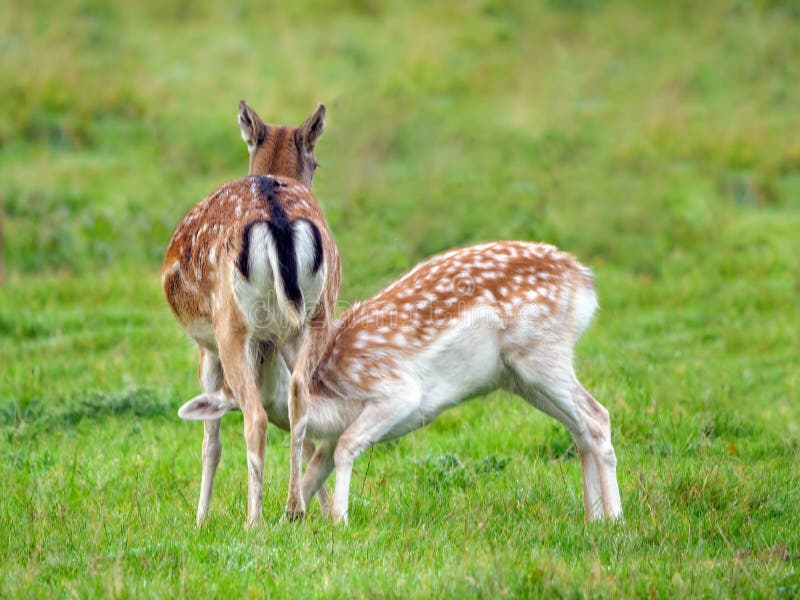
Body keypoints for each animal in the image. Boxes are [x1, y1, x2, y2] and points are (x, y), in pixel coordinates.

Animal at [164, 102, 340, 524]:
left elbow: (210, 440)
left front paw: (199, 520)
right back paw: (294, 508)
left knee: (255, 418)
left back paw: (254, 520)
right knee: (299, 400)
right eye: (317, 161)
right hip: (317, 314)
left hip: (231, 325)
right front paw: (323, 508)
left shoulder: (207, 348)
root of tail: (277, 218)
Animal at [178, 241, 620, 524]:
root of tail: (586, 281)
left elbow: (347, 448)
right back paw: (593, 518)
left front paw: (339, 520)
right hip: (521, 377)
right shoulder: (331, 433)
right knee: (579, 429)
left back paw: (615, 519)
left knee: (596, 416)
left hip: (542, 352)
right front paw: (293, 521)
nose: (265, 341)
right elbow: (315, 468)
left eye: (261, 354)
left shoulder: (397, 391)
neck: (328, 401)